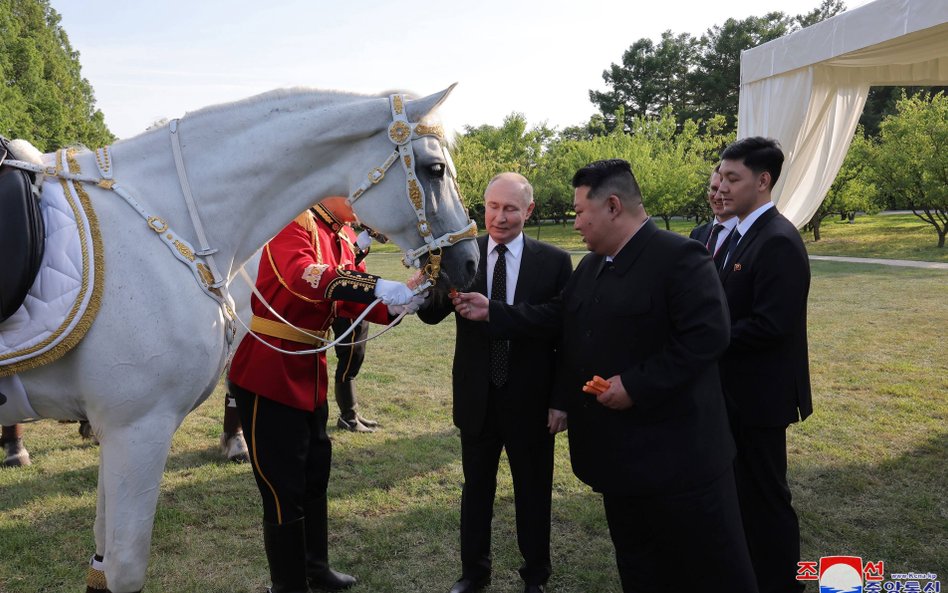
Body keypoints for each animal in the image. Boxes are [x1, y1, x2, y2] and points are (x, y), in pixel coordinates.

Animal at [4, 86, 478, 592]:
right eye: (435, 169)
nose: (469, 262)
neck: (173, 218)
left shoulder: (121, 428)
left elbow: (100, 560)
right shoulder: (137, 426)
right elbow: (125, 567)